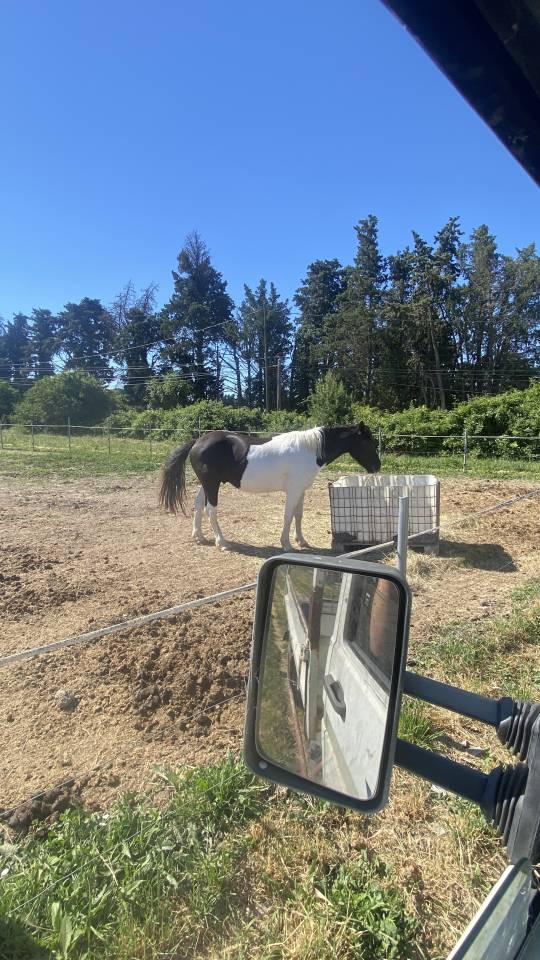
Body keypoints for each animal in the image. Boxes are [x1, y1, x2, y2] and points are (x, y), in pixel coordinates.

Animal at [159, 424, 380, 551]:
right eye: (368, 442)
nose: (377, 466)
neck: (310, 450)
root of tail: (198, 441)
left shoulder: (301, 490)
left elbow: (298, 516)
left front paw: (302, 541)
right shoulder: (293, 491)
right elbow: (288, 516)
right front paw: (287, 544)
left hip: (207, 484)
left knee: (197, 505)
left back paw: (200, 536)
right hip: (212, 485)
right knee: (210, 510)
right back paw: (222, 542)